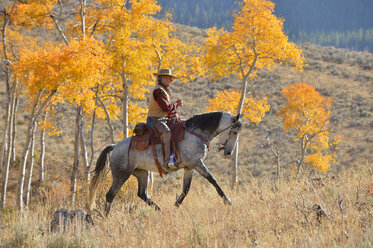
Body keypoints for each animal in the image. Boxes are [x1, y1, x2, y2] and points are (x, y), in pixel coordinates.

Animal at [88, 111, 243, 215]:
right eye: (235, 132)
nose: (229, 152)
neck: (195, 133)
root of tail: (114, 146)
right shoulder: (197, 164)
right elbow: (213, 180)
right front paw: (227, 200)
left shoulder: (189, 167)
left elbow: (186, 189)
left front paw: (176, 206)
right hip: (121, 175)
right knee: (110, 195)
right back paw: (107, 217)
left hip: (142, 173)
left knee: (142, 194)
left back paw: (159, 209)